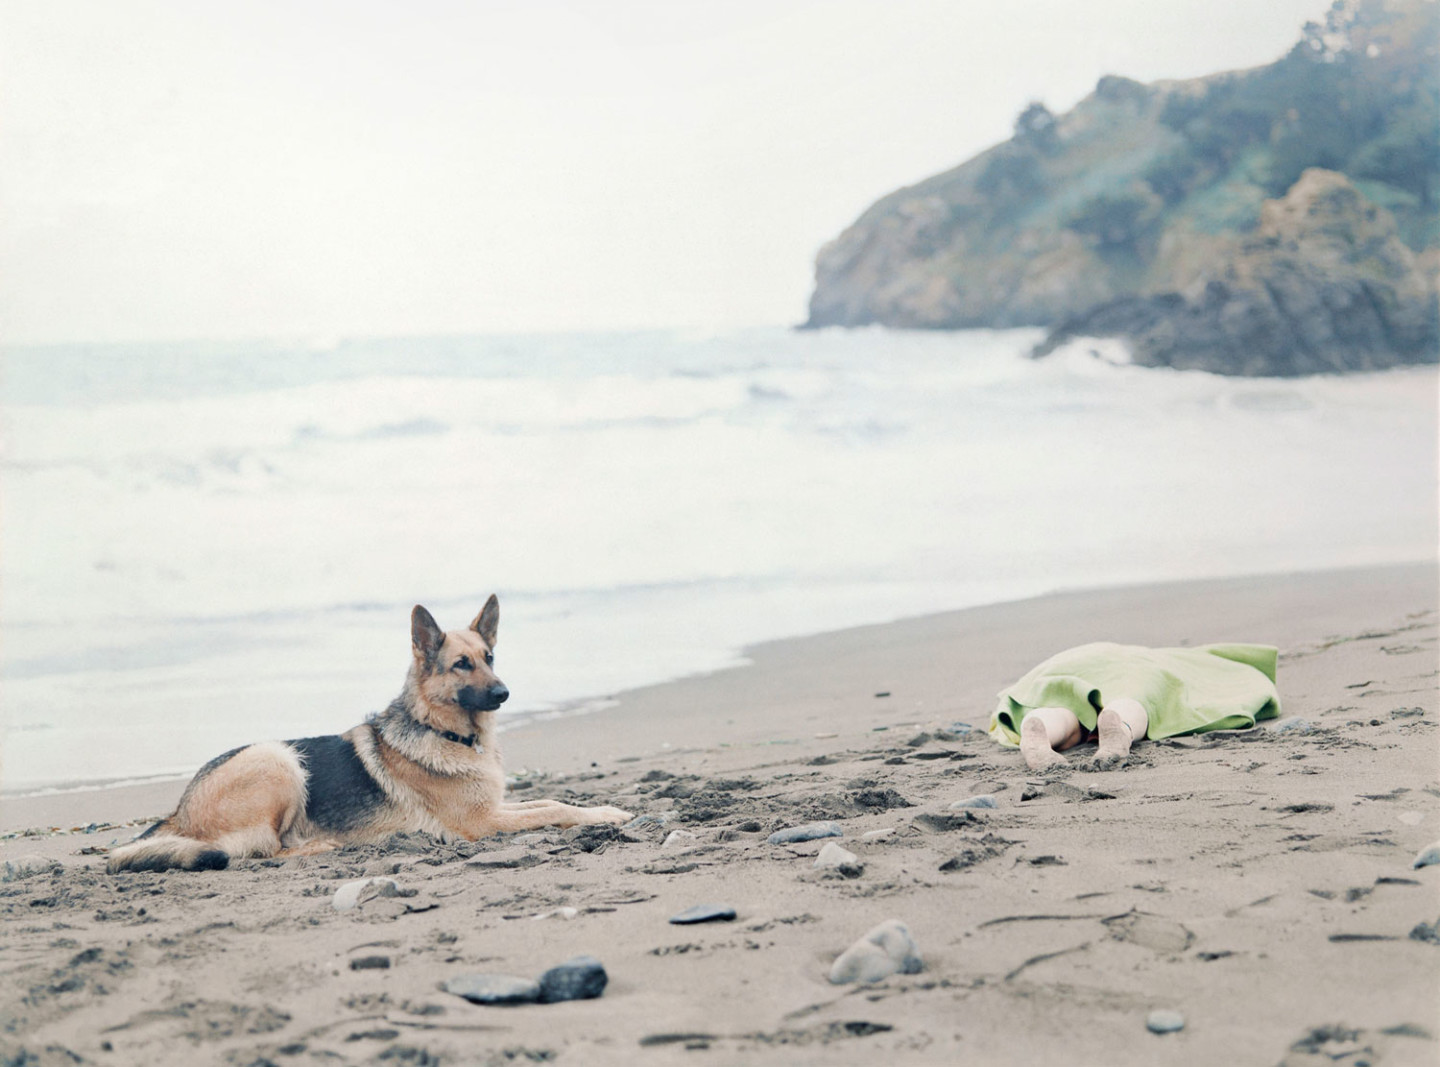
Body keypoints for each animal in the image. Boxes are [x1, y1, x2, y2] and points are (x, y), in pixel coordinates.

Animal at [106, 596, 636, 869]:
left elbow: (550, 800)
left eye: (489, 657)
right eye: (461, 665)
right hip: (278, 759)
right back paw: (323, 845)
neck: (444, 733)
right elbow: (554, 810)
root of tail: (176, 815)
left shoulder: (495, 808)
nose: (504, 693)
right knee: (268, 850)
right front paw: (606, 813)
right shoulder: (482, 823)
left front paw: (602, 808)